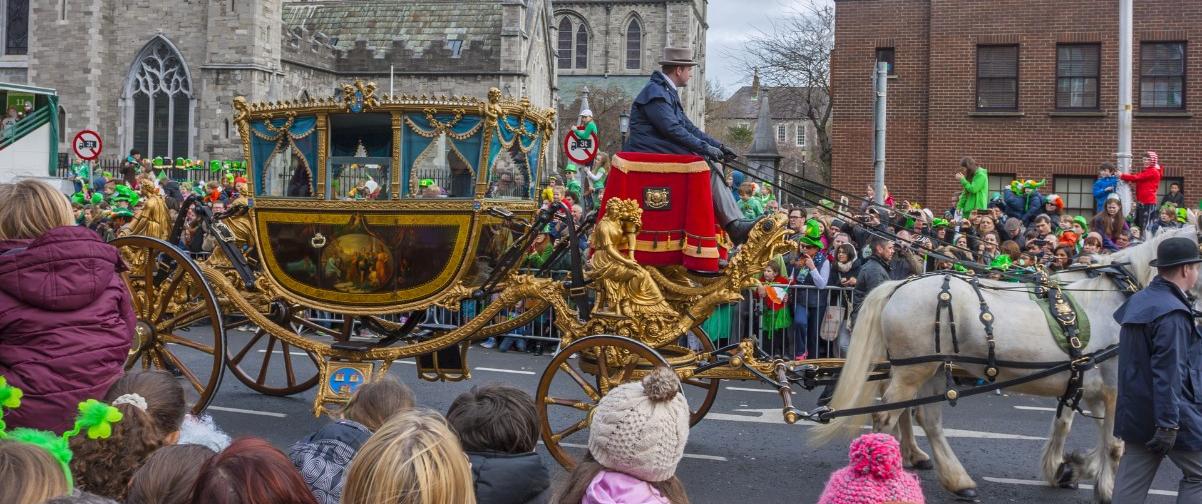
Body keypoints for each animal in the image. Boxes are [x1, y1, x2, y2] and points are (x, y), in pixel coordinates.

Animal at [812, 227, 1197, 504]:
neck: (1119, 299)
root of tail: (898, 284)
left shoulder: (1082, 382)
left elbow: (1067, 427)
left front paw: (1067, 467)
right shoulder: (1117, 388)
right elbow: (1114, 447)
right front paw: (1101, 485)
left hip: (930, 368)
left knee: (924, 418)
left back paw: (954, 479)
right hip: (914, 369)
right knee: (889, 415)